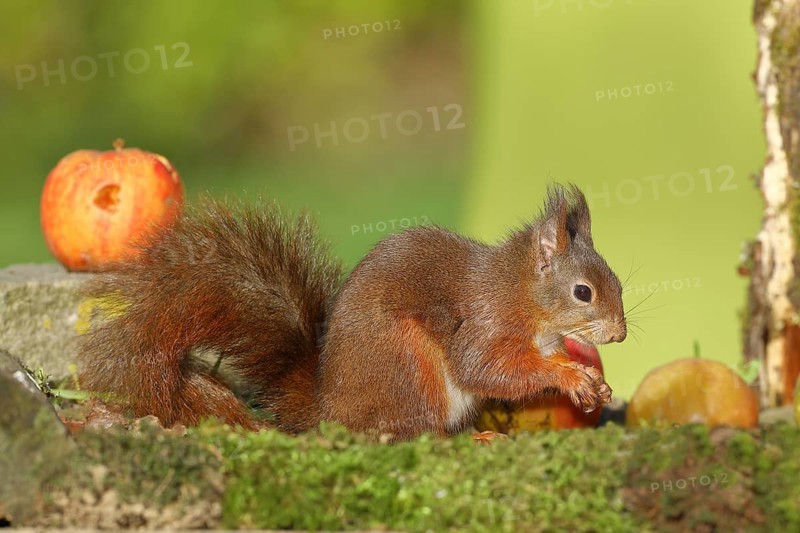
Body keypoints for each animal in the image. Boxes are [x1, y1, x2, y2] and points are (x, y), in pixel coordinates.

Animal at [79, 183, 627, 441]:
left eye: (617, 282)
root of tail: (332, 411)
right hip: (409, 365)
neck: (524, 296)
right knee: (408, 435)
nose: (620, 335)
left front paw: (596, 385)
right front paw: (569, 376)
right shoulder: (486, 322)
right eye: (583, 292)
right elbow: (488, 368)